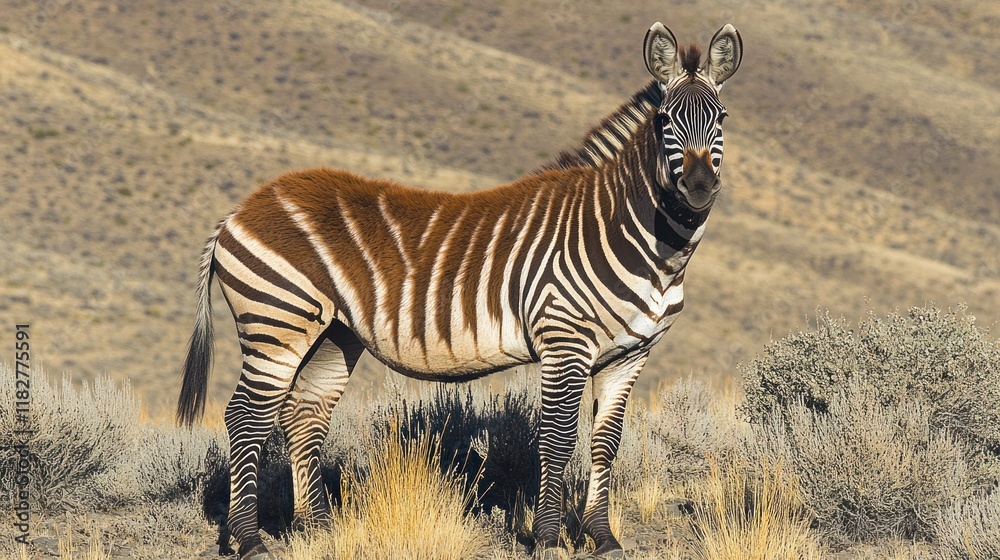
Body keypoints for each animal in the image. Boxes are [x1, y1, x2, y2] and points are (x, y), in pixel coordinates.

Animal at [177, 22, 741, 559]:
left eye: (722, 118)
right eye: (665, 121)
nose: (697, 188)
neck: (638, 238)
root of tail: (241, 208)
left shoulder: (630, 354)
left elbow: (605, 444)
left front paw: (604, 539)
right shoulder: (564, 339)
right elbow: (558, 440)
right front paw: (549, 539)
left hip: (333, 333)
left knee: (304, 414)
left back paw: (317, 530)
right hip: (277, 320)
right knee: (244, 418)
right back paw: (251, 540)